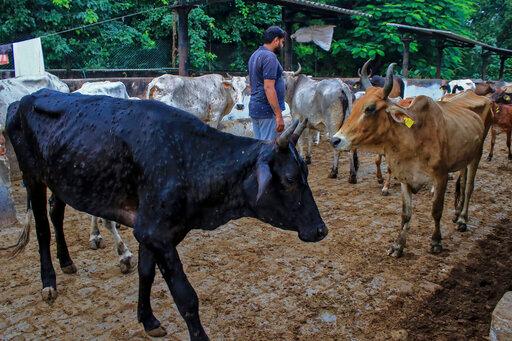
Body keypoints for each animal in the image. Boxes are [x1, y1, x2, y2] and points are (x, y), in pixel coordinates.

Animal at [6, 89, 326, 338]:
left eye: (306, 173)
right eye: (289, 179)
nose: (321, 230)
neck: (189, 158)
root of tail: (22, 100)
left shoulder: (149, 229)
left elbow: (146, 274)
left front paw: (147, 319)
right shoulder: (156, 233)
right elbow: (186, 297)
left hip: (61, 179)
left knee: (56, 213)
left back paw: (67, 261)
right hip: (32, 176)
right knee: (42, 228)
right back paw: (49, 282)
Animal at [332, 63, 492, 255]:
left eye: (370, 108)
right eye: (355, 105)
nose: (336, 140)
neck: (413, 138)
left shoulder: (441, 176)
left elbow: (436, 210)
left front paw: (436, 241)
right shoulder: (405, 178)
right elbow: (406, 213)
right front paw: (398, 245)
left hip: (477, 155)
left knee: (468, 188)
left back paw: (462, 219)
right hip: (464, 159)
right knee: (462, 181)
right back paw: (456, 213)